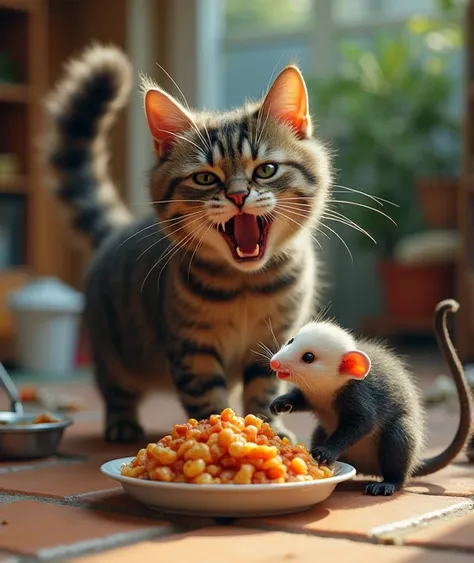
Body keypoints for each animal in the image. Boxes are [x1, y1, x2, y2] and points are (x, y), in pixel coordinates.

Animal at [45, 44, 334, 442]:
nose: (238, 196)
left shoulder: (274, 340)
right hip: (112, 351)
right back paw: (122, 424)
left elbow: (264, 388)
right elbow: (205, 394)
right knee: (116, 391)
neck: (246, 285)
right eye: (205, 178)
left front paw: (267, 429)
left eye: (266, 170)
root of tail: (118, 229)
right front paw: (212, 430)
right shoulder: (192, 348)